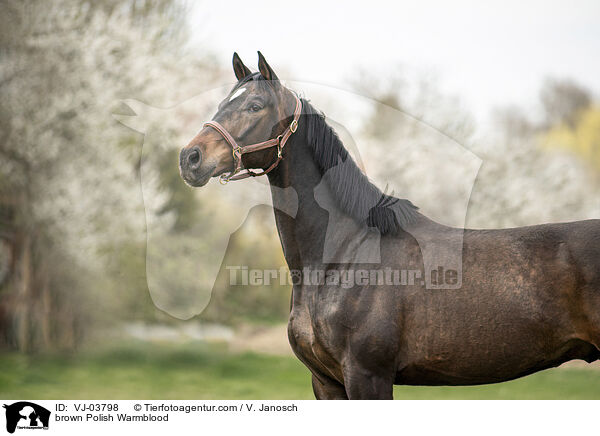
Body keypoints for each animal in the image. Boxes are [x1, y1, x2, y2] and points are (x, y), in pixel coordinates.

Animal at [180, 52, 600, 398]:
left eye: (255, 106)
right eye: (222, 104)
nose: (190, 158)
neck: (340, 256)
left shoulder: (368, 376)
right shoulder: (326, 382)